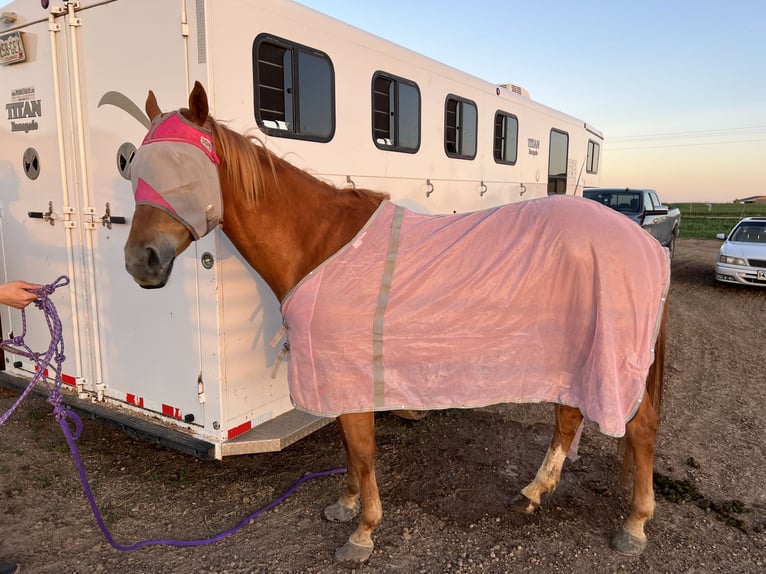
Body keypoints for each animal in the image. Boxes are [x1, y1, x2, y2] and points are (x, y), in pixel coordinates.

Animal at [123, 83, 668, 564]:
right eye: (133, 168)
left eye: (182, 169)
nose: (139, 262)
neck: (320, 244)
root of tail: (645, 244)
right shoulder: (338, 381)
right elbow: (348, 451)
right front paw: (345, 506)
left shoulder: (348, 375)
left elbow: (362, 452)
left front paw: (362, 534)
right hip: (568, 358)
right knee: (569, 418)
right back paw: (534, 492)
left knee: (640, 429)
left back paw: (635, 525)